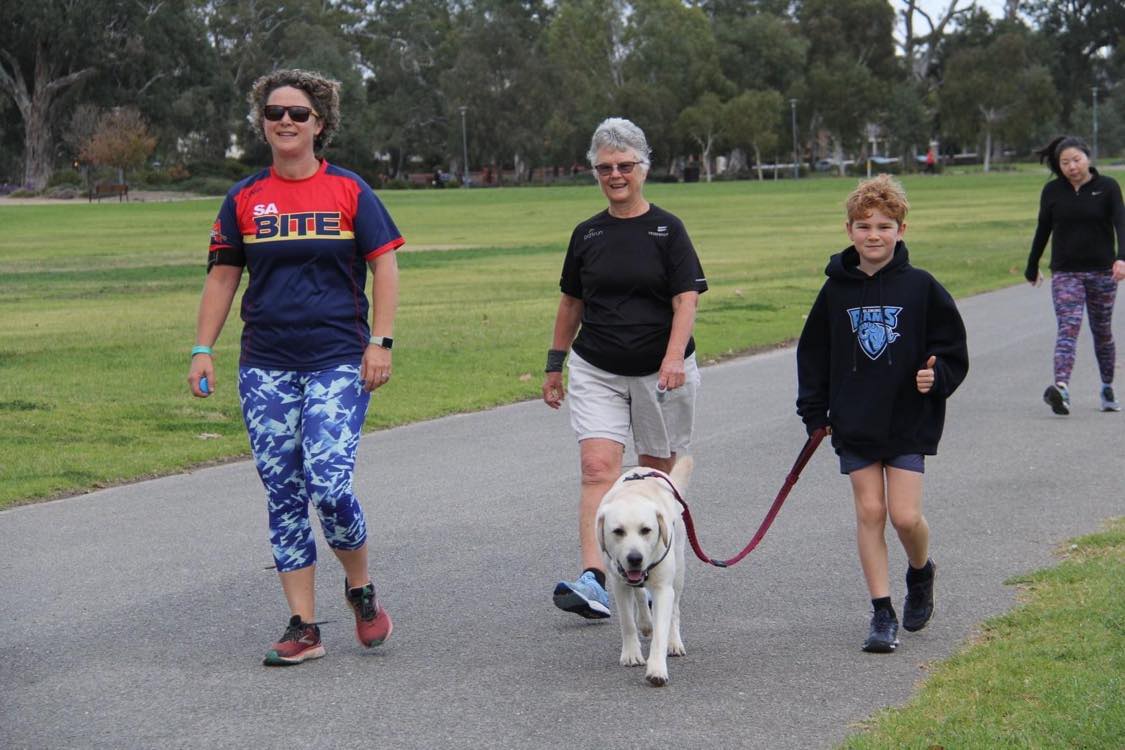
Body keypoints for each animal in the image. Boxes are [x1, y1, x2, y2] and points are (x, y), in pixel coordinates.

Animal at [594, 458, 688, 688]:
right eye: (618, 531)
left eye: (646, 530)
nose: (635, 558)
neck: (634, 493)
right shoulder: (619, 584)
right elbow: (628, 622)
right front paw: (631, 655)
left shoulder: (663, 588)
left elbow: (661, 630)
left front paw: (657, 670)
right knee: (639, 595)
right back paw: (645, 623)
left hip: (679, 571)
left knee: (675, 609)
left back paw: (674, 642)